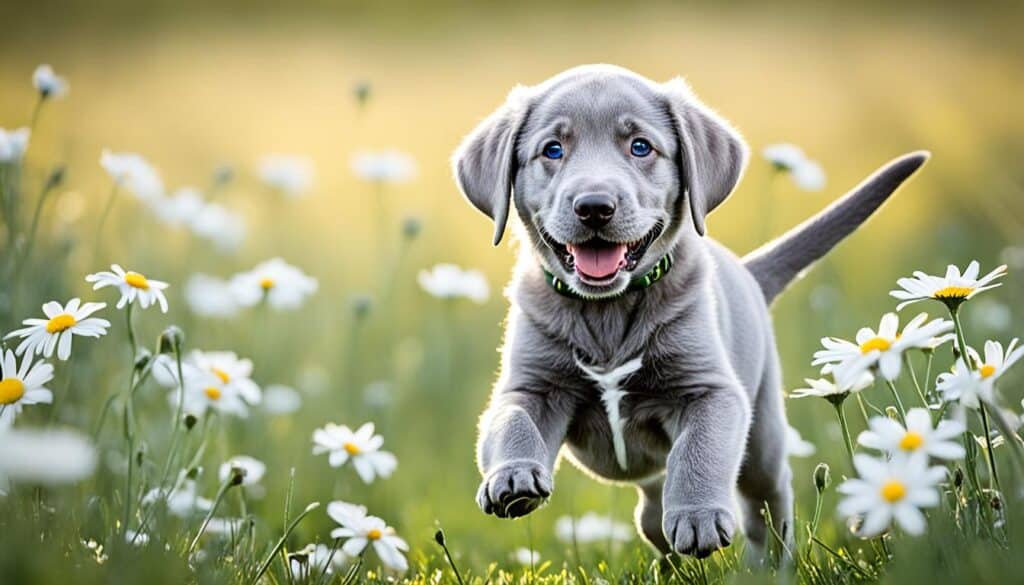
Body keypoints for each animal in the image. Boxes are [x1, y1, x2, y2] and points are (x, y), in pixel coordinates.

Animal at [452, 65, 933, 557]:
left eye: (640, 146)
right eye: (552, 149)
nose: (594, 207)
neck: (608, 310)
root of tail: (747, 270)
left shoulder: (712, 390)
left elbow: (699, 452)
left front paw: (698, 517)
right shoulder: (530, 386)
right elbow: (511, 422)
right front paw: (512, 476)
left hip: (762, 435)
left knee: (767, 506)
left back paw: (765, 563)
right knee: (652, 513)